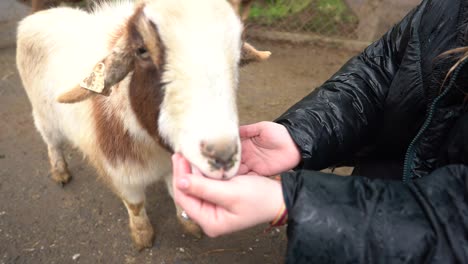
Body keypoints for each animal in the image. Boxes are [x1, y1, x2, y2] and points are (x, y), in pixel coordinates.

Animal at [17, 0, 270, 250]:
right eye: (141, 51)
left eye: (239, 52)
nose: (222, 156)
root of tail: (42, 14)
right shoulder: (120, 172)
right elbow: (135, 205)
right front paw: (143, 236)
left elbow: (177, 194)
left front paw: (189, 224)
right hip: (44, 115)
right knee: (52, 143)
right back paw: (60, 172)